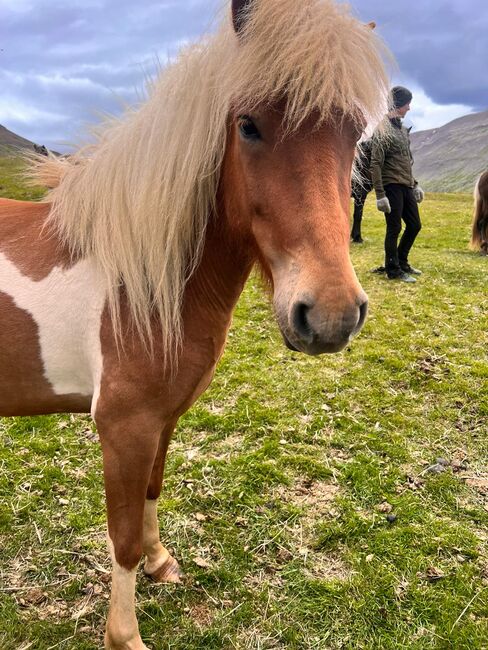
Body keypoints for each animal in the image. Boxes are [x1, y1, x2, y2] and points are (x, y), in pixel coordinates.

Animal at [0, 2, 388, 644]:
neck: (144, 278)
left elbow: (152, 496)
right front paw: (125, 636)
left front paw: (162, 564)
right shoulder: (124, 426)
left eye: (354, 133)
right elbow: (122, 539)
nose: (331, 315)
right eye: (249, 126)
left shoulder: (162, 418)